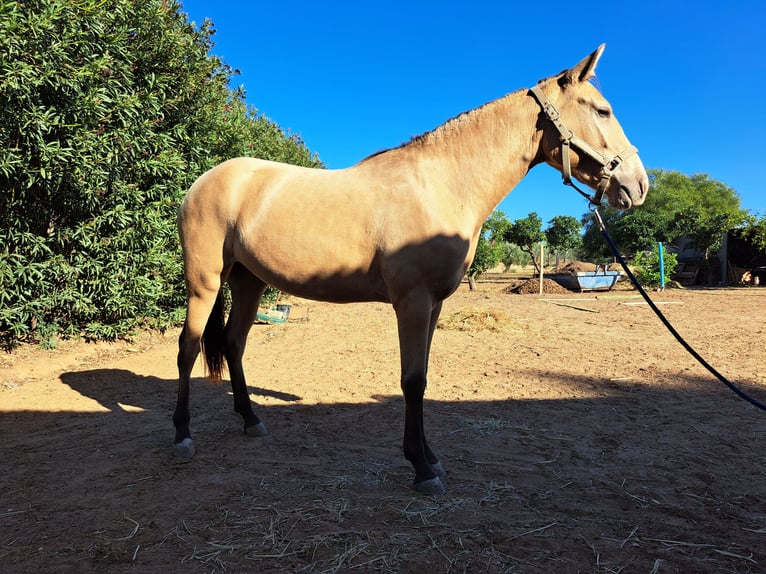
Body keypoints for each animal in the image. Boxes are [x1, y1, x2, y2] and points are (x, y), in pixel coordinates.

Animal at [172, 44, 648, 496]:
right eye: (601, 110)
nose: (639, 185)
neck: (441, 184)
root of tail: (203, 181)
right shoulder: (413, 303)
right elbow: (412, 381)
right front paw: (421, 469)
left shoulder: (434, 305)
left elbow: (423, 376)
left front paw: (431, 459)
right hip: (204, 283)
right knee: (188, 348)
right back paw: (182, 436)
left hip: (248, 281)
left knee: (234, 344)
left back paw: (251, 420)